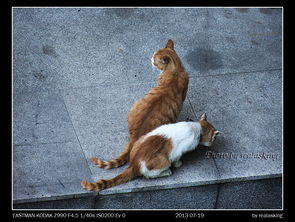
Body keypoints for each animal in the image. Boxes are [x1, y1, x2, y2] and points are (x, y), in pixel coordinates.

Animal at [81, 113, 220, 192]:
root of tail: (134, 164)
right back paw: (166, 172)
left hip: (141, 138)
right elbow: (177, 159)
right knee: (149, 175)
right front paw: (178, 164)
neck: (196, 127)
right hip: (162, 161)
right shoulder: (179, 151)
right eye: (214, 139)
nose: (213, 143)